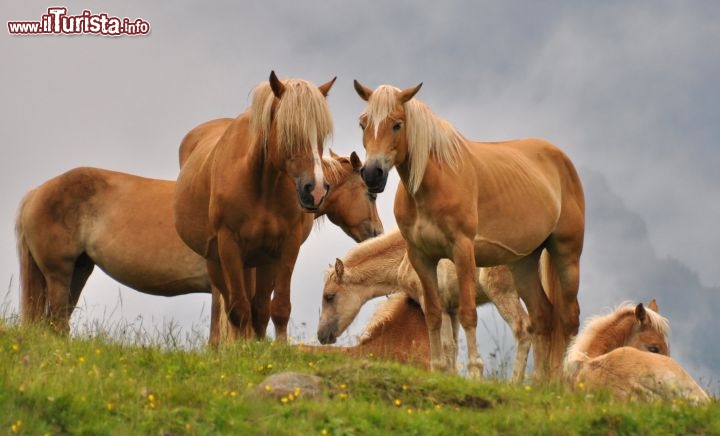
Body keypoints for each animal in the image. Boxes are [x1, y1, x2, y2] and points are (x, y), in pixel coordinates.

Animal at [15, 152, 382, 336]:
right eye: (369, 193)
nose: (377, 232)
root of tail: (36, 193)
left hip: (79, 270)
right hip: (59, 273)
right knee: (56, 319)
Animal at [176, 73, 338, 342]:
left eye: (321, 135)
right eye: (288, 131)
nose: (315, 190)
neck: (262, 187)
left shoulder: (286, 246)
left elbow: (277, 307)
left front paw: (273, 347)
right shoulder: (229, 245)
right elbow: (238, 310)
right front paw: (242, 348)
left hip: (261, 261)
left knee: (259, 306)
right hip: (218, 262)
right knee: (231, 307)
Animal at [318, 228, 532, 382]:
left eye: (329, 296)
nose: (321, 335)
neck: (405, 257)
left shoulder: (438, 305)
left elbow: (446, 347)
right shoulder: (452, 309)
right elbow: (452, 347)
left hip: (501, 291)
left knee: (523, 329)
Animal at [352, 80, 584, 380]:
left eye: (397, 124)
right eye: (363, 123)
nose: (372, 174)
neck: (433, 187)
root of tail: (561, 159)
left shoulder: (462, 251)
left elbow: (467, 314)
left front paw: (475, 371)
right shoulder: (421, 257)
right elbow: (433, 315)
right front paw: (438, 369)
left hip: (567, 254)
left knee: (569, 317)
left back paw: (563, 382)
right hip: (523, 262)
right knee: (542, 316)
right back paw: (539, 383)